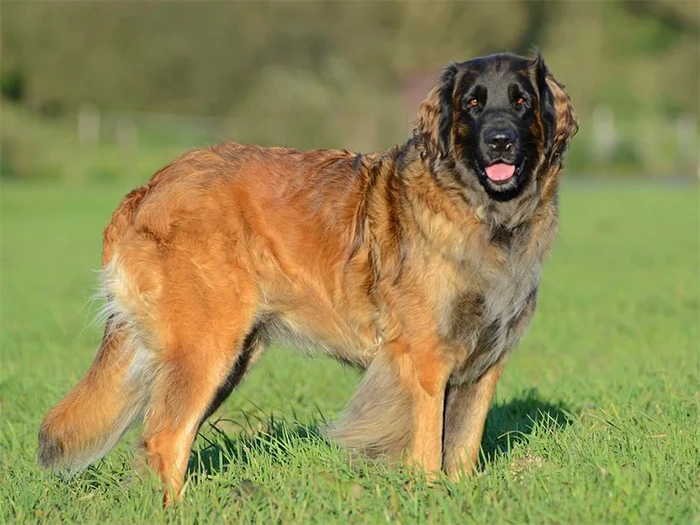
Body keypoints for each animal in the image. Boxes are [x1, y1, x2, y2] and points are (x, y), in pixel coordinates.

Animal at [38, 52, 576, 500]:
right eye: (472, 104)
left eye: (521, 102)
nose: (500, 141)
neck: (485, 216)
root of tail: (147, 189)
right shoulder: (424, 360)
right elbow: (428, 449)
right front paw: (427, 495)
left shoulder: (485, 364)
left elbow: (461, 448)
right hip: (205, 350)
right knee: (164, 439)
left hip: (226, 359)